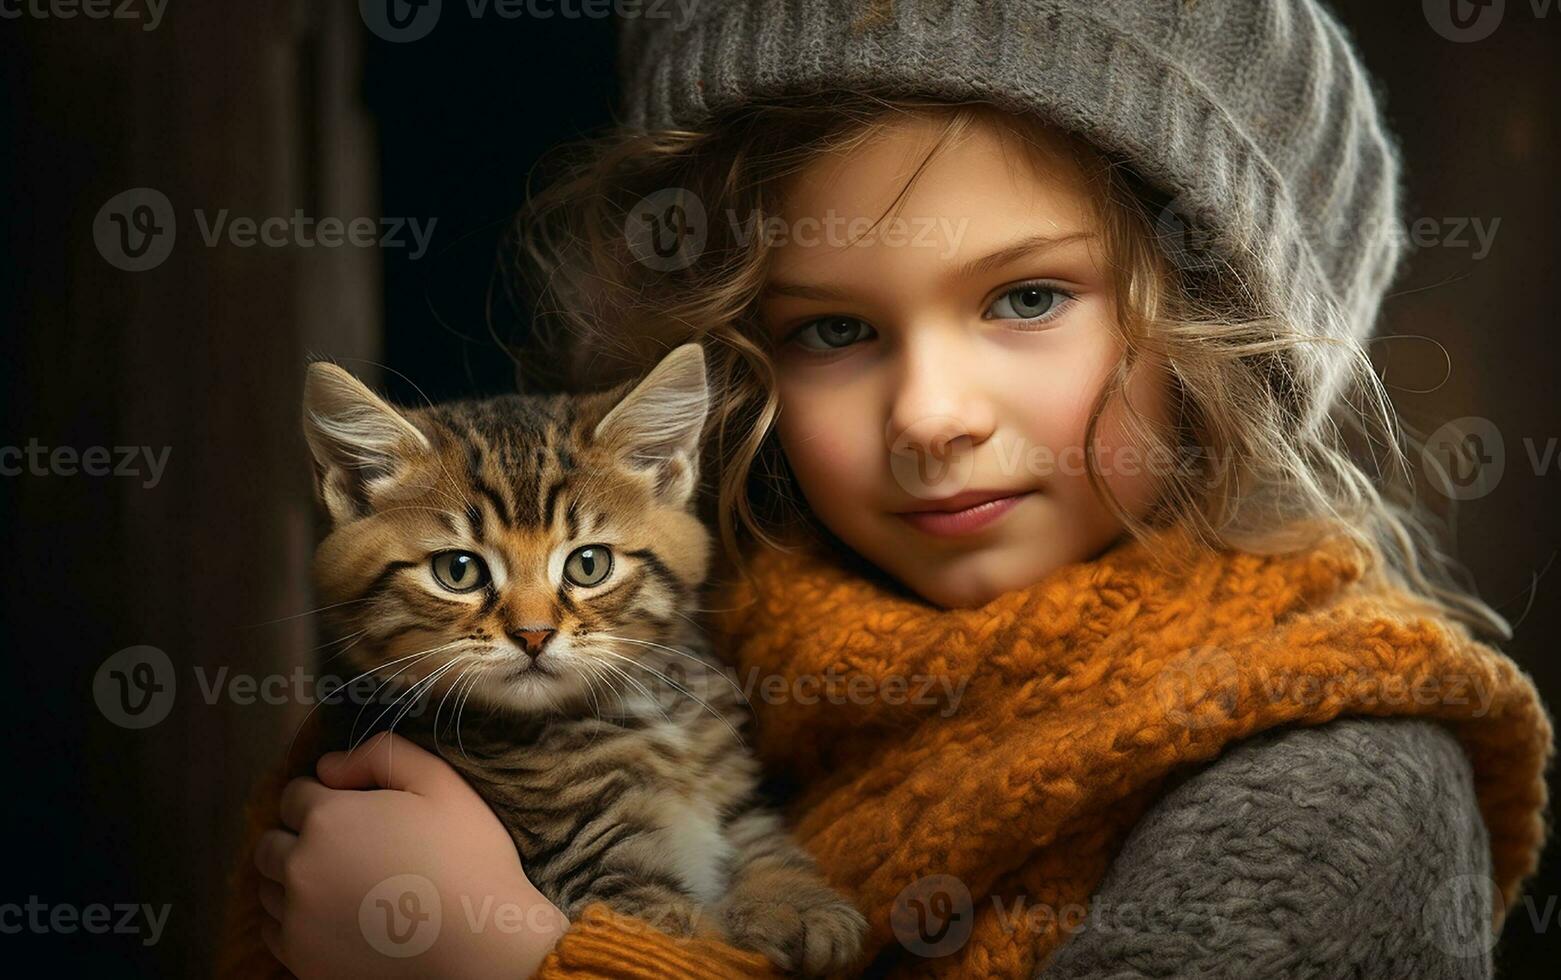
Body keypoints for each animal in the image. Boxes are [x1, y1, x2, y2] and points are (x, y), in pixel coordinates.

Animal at [301, 344, 867, 973]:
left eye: (588, 564)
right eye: (458, 570)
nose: (533, 634)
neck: (640, 722)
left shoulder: (733, 800)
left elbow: (763, 846)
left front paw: (799, 906)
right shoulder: (599, 873)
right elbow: (685, 945)